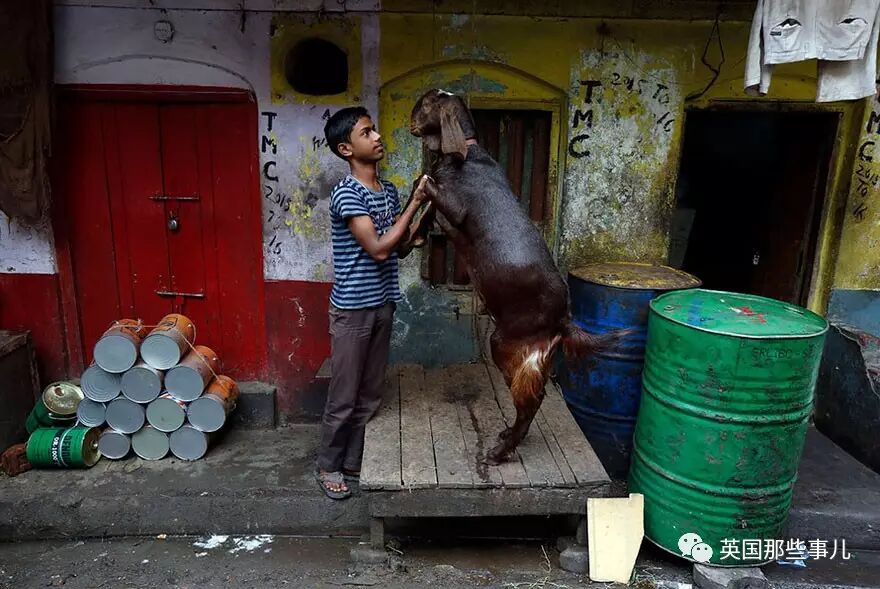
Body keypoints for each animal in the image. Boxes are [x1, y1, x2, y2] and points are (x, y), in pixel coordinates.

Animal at [410, 88, 608, 464]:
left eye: (427, 103)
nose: (411, 120)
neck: (465, 154)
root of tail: (563, 317)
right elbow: (429, 202)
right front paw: (414, 233)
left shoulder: (457, 208)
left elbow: (426, 183)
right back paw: (508, 437)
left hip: (505, 340)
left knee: (530, 399)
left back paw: (501, 451)